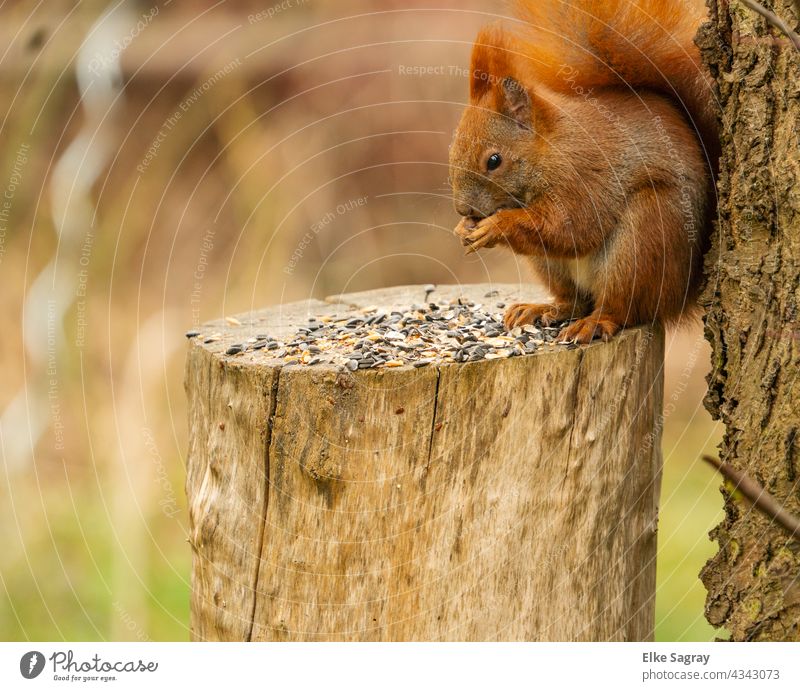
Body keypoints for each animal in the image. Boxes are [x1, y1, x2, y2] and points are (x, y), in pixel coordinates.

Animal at [450, 0, 720, 344]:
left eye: (494, 161)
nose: (464, 209)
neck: (547, 149)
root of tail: (680, 294)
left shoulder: (582, 176)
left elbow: (571, 227)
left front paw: (496, 226)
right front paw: (462, 229)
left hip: (644, 238)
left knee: (623, 308)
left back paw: (596, 322)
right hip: (551, 266)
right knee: (575, 301)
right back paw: (542, 309)